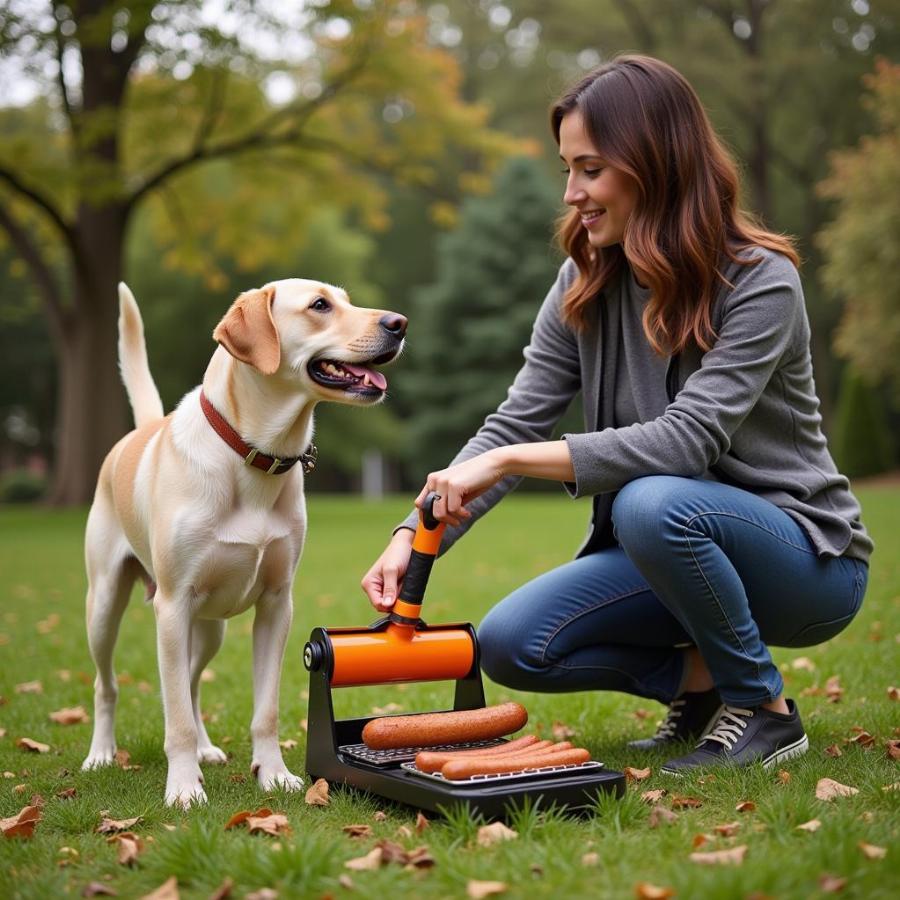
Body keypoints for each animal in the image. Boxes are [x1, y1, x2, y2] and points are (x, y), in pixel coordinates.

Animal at [82, 282, 406, 808]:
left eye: (346, 298)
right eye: (319, 305)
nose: (399, 323)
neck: (253, 455)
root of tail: (141, 430)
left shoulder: (277, 604)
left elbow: (264, 710)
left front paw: (273, 774)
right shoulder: (173, 607)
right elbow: (175, 718)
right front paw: (183, 788)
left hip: (209, 628)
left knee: (193, 684)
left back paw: (206, 749)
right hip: (106, 605)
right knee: (107, 684)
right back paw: (101, 754)